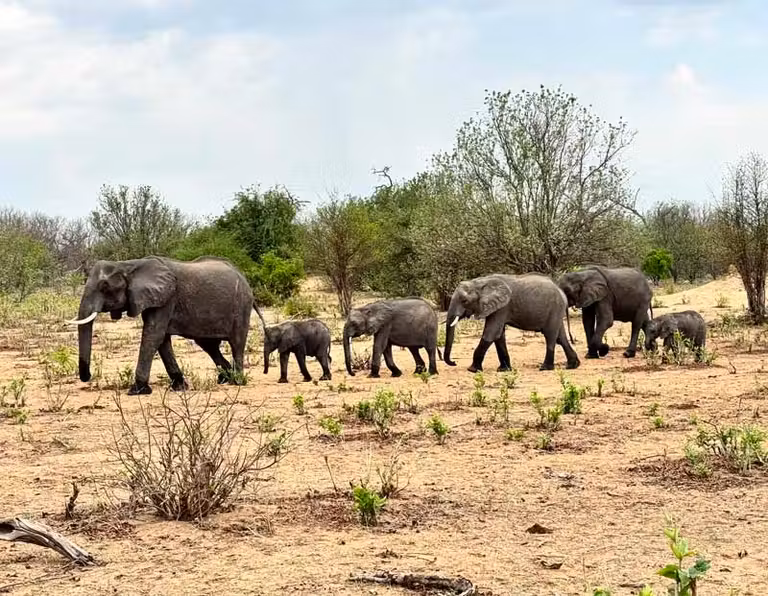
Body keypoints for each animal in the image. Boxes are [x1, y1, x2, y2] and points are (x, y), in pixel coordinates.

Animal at [68, 256, 265, 395]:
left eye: (104, 286)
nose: (88, 377)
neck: (129, 265)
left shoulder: (167, 298)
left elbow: (153, 335)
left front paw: (137, 390)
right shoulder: (153, 298)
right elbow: (161, 340)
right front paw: (180, 387)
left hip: (241, 305)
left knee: (236, 343)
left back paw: (237, 381)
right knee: (209, 346)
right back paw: (224, 378)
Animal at [443, 273, 579, 372]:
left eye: (464, 301)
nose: (454, 362)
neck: (480, 282)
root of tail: (562, 292)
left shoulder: (503, 307)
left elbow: (491, 333)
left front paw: (472, 370)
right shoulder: (498, 308)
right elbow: (499, 335)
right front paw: (504, 370)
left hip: (554, 308)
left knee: (550, 336)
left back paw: (545, 368)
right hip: (556, 311)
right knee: (560, 337)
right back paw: (572, 366)